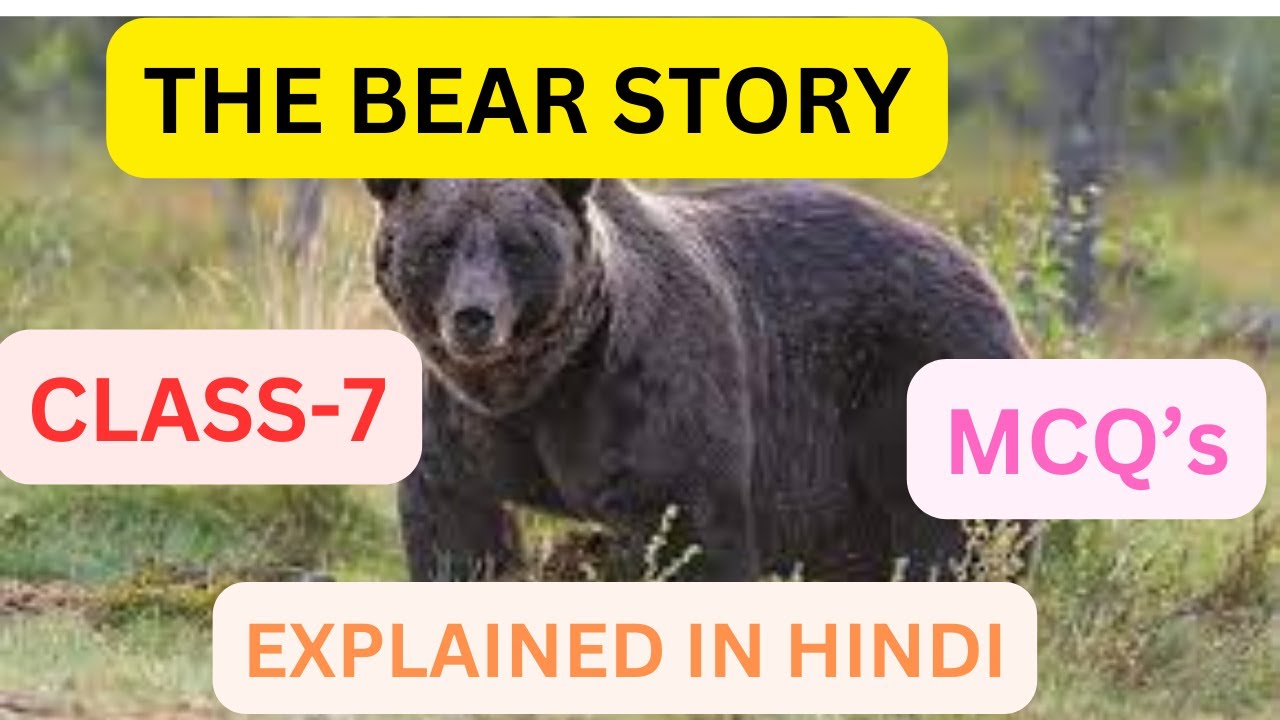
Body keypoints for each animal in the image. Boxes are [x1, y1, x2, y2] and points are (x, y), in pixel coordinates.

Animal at [365, 178, 1030, 581]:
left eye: (518, 244)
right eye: (439, 241)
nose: (473, 317)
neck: (541, 384)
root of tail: (976, 265)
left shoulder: (645, 397)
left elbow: (693, 529)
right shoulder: (462, 426)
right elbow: (456, 527)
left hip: (916, 374)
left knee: (958, 531)